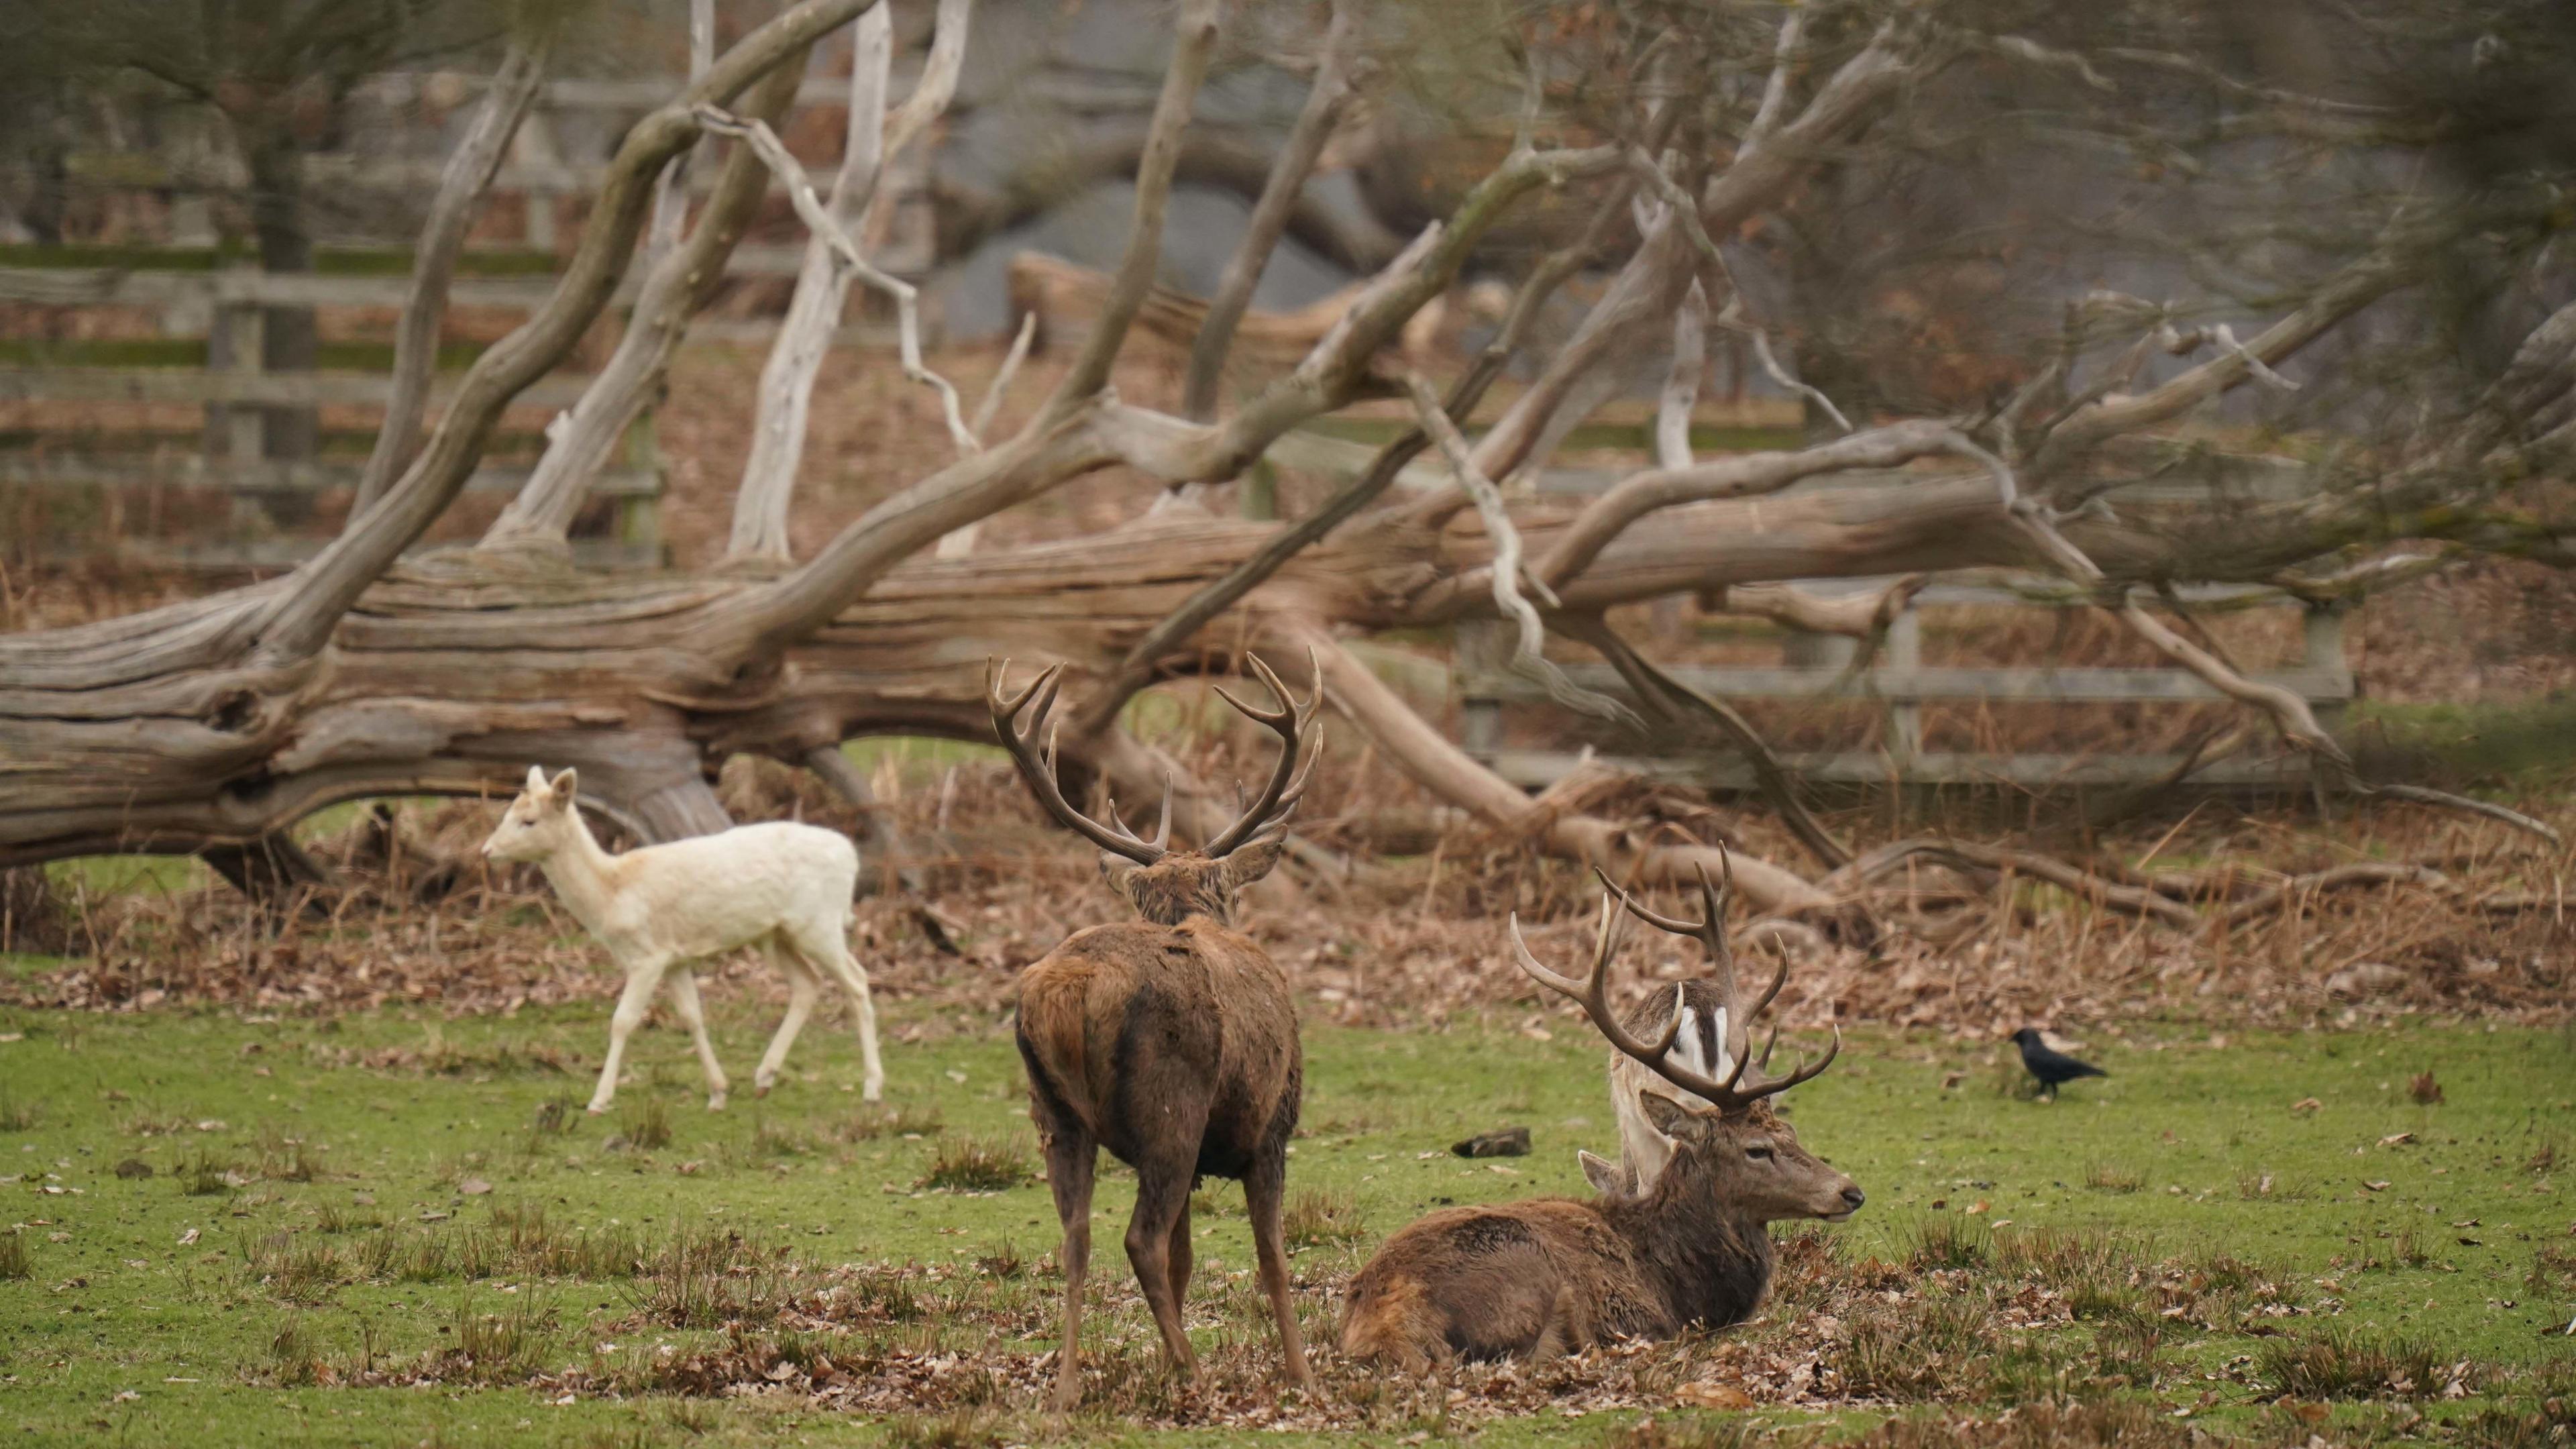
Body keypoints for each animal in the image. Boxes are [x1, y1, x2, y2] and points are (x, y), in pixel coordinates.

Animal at [482, 768, 885, 1103]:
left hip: (819, 922)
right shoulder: (674, 957)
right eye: (506, 814)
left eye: (529, 820)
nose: (487, 851)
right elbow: (692, 1017)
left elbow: (623, 1020)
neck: (612, 895)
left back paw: (871, 1087)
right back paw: (764, 1076)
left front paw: (599, 1099)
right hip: (777, 934)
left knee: (856, 979)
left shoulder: (647, 956)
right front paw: (718, 1092)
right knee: (808, 983)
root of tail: (851, 855)